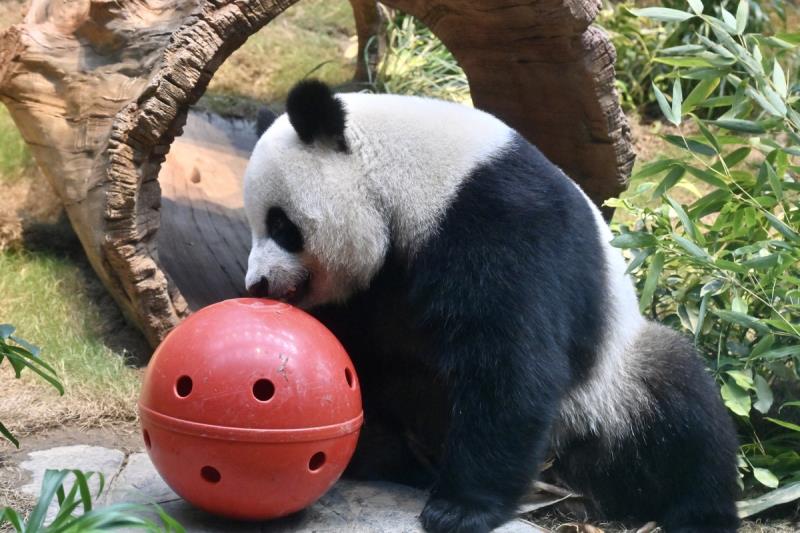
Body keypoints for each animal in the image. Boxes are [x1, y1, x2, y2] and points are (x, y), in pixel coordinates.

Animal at [241, 80, 740, 532]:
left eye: (282, 225)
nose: (257, 285)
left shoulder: (500, 219)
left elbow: (509, 361)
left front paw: (460, 509)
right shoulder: (373, 286)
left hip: (609, 383)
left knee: (680, 410)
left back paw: (700, 514)